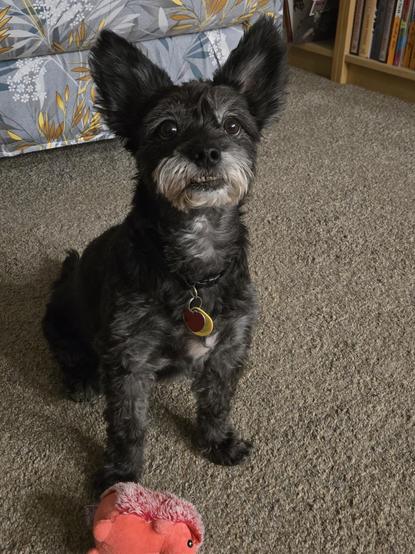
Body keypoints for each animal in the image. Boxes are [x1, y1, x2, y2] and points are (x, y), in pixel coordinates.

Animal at [44, 16, 288, 492]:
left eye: (233, 126)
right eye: (168, 129)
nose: (207, 151)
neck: (194, 264)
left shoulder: (228, 348)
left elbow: (216, 402)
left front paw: (217, 442)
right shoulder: (129, 360)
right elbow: (128, 425)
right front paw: (121, 476)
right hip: (62, 320)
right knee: (65, 347)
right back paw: (81, 377)